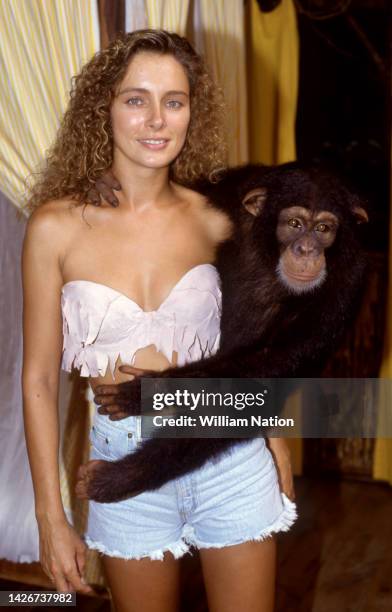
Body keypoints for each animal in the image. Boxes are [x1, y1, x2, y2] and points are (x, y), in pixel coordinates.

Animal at [76, 163, 368, 502]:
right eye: (295, 223)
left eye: (324, 228)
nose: (307, 249)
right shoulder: (234, 192)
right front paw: (100, 184)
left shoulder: (347, 282)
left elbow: (276, 356)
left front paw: (152, 390)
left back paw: (121, 478)